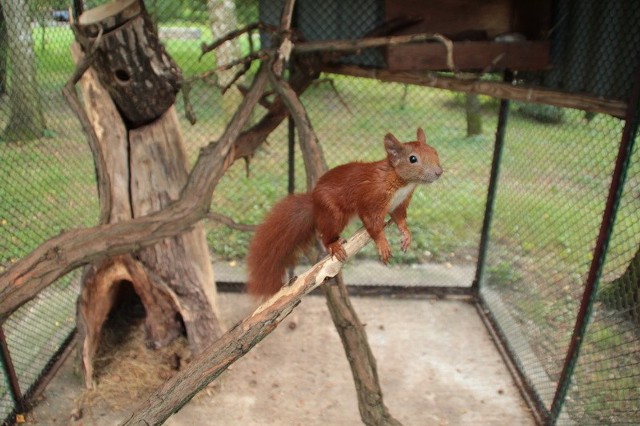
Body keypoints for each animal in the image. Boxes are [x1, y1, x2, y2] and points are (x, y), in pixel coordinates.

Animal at [248, 128, 442, 296]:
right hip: (334, 214)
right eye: (413, 159)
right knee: (324, 235)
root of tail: (314, 204)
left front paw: (406, 235)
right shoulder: (371, 200)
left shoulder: (398, 205)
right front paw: (383, 244)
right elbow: (373, 225)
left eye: (435, 152)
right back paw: (334, 244)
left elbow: (399, 219)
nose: (439, 172)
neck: (401, 183)